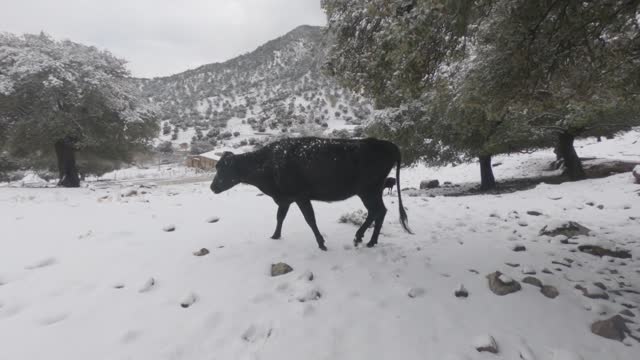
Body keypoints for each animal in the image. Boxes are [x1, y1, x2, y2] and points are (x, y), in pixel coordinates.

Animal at [210, 136, 410, 252]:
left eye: (223, 169)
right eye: (216, 166)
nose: (212, 187)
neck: (268, 163)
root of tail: (387, 144)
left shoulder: (300, 196)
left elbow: (310, 219)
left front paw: (321, 243)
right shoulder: (286, 199)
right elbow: (280, 217)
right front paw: (275, 236)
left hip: (368, 191)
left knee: (377, 211)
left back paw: (363, 238)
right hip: (373, 191)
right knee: (379, 212)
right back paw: (369, 240)